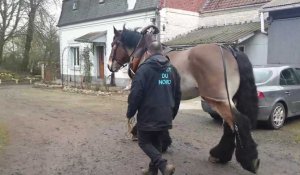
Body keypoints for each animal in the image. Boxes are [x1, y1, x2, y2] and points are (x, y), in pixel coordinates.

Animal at [108, 25, 260, 174]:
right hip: (229, 99)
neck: (145, 53)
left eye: (113, 44)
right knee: (230, 125)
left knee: (240, 121)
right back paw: (220, 155)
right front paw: (163, 142)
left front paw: (139, 134)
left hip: (217, 99)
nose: (110, 66)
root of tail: (230, 51)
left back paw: (249, 161)